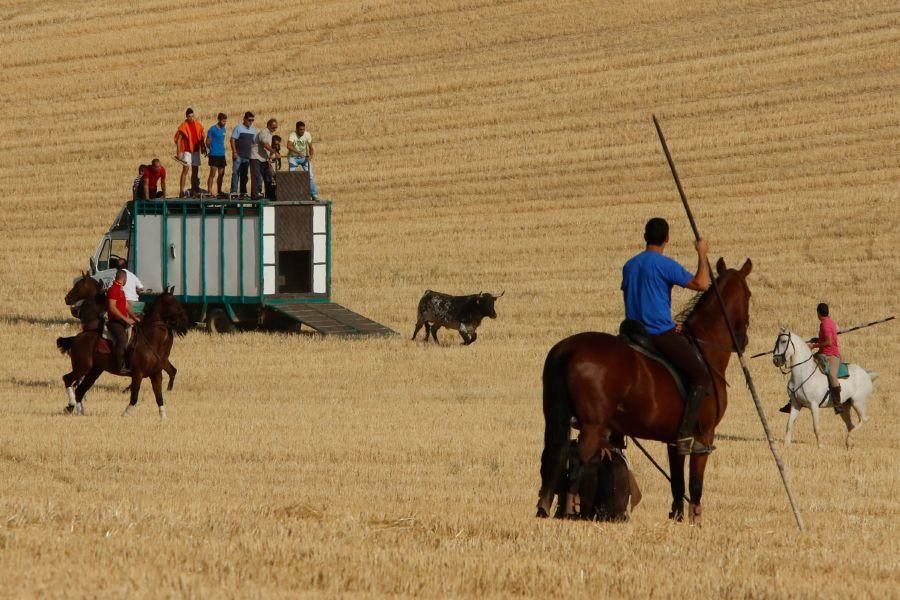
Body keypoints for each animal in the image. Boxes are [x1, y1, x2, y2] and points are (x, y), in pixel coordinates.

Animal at [57, 286, 188, 418]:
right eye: (171, 303)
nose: (184, 320)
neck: (151, 339)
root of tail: (76, 338)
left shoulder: (156, 374)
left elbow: (159, 397)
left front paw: (163, 417)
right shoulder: (138, 374)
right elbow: (134, 398)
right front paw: (125, 414)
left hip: (95, 370)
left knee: (80, 390)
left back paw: (80, 411)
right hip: (82, 367)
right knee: (68, 379)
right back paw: (72, 404)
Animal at [536, 258, 756, 524]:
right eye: (749, 294)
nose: (742, 341)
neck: (704, 350)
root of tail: (568, 348)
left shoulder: (675, 441)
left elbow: (677, 483)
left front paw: (677, 518)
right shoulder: (705, 436)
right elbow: (695, 485)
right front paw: (695, 521)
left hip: (557, 418)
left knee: (553, 456)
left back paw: (544, 508)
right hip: (592, 425)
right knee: (577, 460)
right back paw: (570, 510)